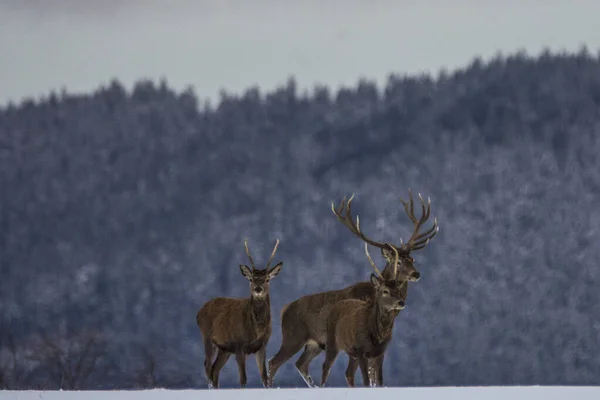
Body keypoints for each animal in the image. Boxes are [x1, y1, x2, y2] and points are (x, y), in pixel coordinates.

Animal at [196, 238, 282, 388]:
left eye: (267, 279)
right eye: (251, 279)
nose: (258, 288)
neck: (255, 330)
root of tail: (198, 313)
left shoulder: (262, 345)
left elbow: (264, 378)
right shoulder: (239, 345)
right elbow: (243, 379)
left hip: (224, 349)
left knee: (215, 369)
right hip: (207, 337)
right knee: (207, 366)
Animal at [322, 244, 406, 388]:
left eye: (398, 290)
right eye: (385, 291)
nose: (401, 302)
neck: (377, 336)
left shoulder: (380, 352)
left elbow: (380, 381)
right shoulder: (361, 349)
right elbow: (366, 382)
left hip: (352, 353)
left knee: (348, 373)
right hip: (332, 341)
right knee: (326, 367)